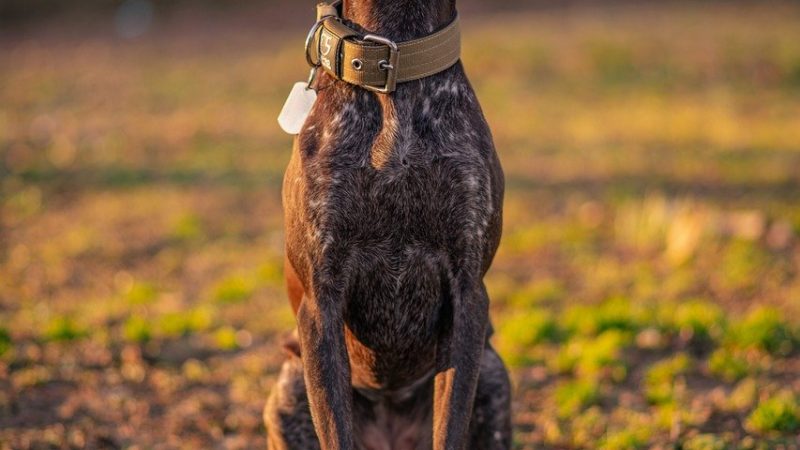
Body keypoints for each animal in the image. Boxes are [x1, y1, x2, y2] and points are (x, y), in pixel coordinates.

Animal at [264, 1, 512, 448]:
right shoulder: (321, 303)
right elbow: (336, 431)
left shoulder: (467, 295)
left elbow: (450, 428)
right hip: (287, 392)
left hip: (493, 375)